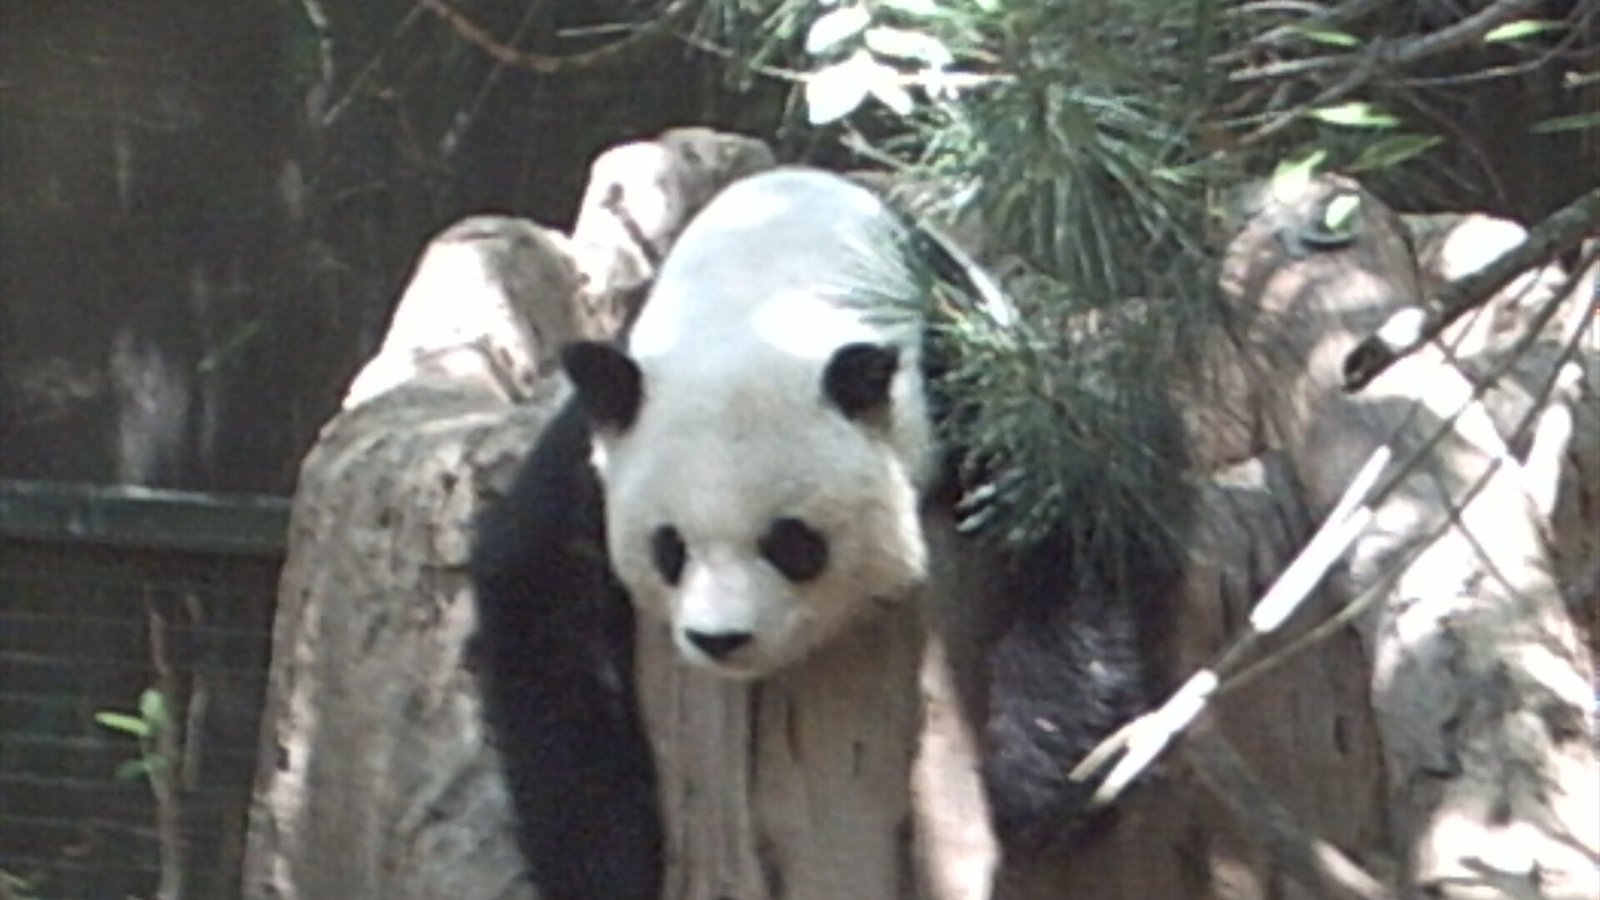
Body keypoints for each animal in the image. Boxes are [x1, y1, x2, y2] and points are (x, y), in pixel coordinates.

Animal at [470, 168, 1165, 900]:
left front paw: (1039, 778)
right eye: (669, 548)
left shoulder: (963, 385)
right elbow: (539, 596)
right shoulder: (601, 439)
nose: (721, 639)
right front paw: (607, 866)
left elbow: (1075, 500)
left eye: (792, 543)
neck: (761, 290)